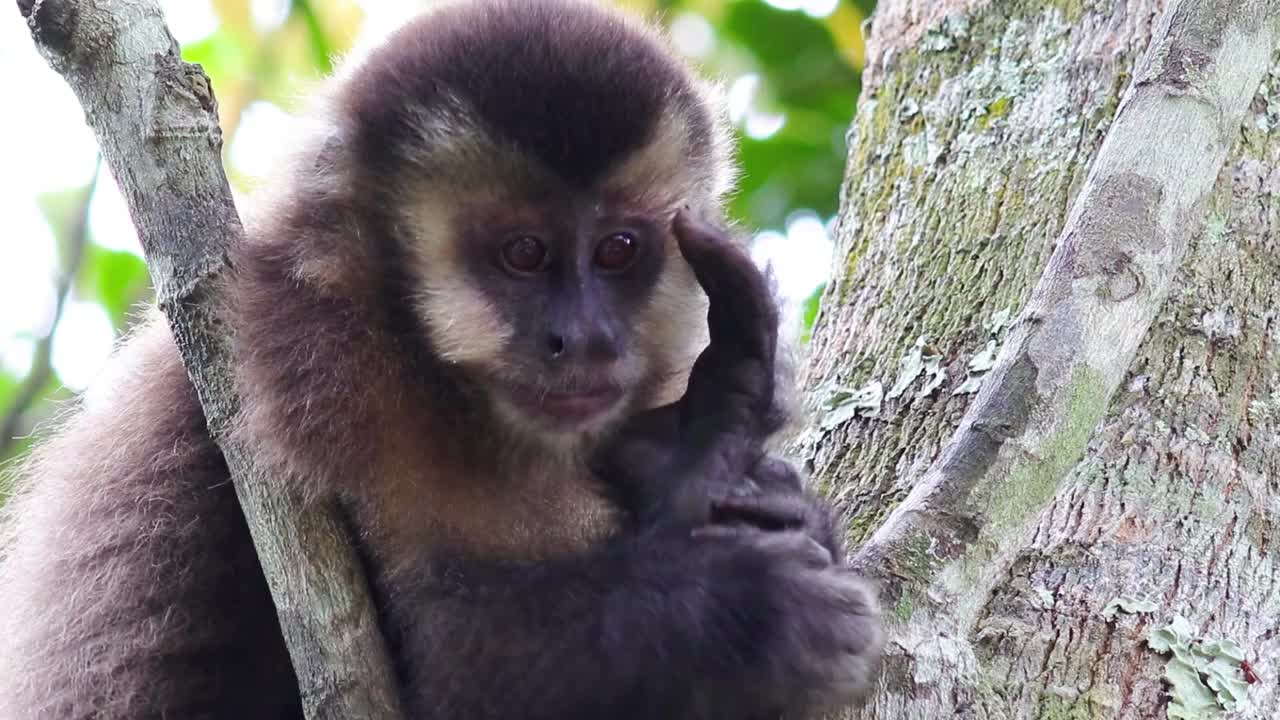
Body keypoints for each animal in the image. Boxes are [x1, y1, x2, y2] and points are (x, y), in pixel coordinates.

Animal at [0, 1, 880, 717]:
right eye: (524, 255)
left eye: (619, 251)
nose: (585, 338)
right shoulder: (318, 367)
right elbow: (438, 656)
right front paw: (739, 614)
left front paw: (700, 451)